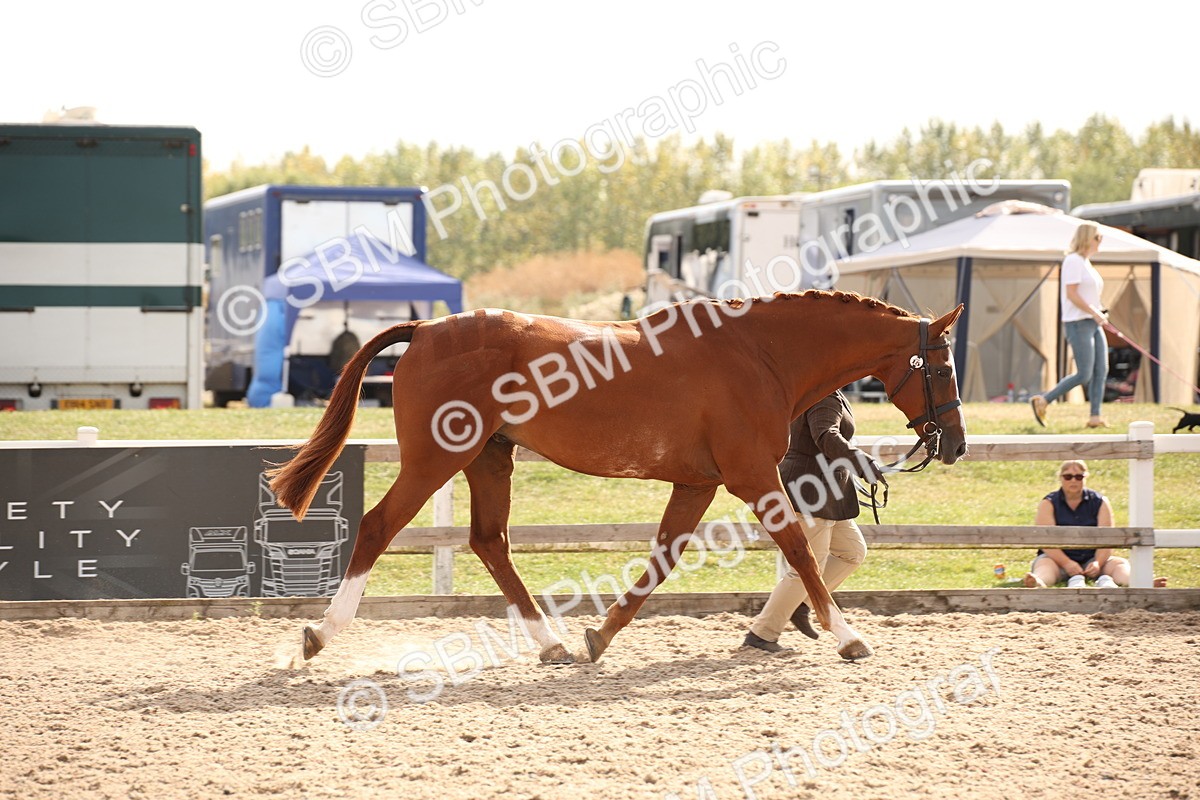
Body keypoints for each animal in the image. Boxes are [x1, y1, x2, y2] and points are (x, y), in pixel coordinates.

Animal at [267, 290, 967, 666]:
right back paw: (320, 633)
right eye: (941, 368)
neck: (759, 354)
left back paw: (550, 643)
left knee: (491, 542)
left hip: (491, 458)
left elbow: (661, 559)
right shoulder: (751, 476)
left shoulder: (699, 483)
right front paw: (849, 637)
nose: (955, 444)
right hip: (435, 460)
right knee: (379, 527)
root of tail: (427, 328)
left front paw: (598, 636)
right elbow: (799, 551)